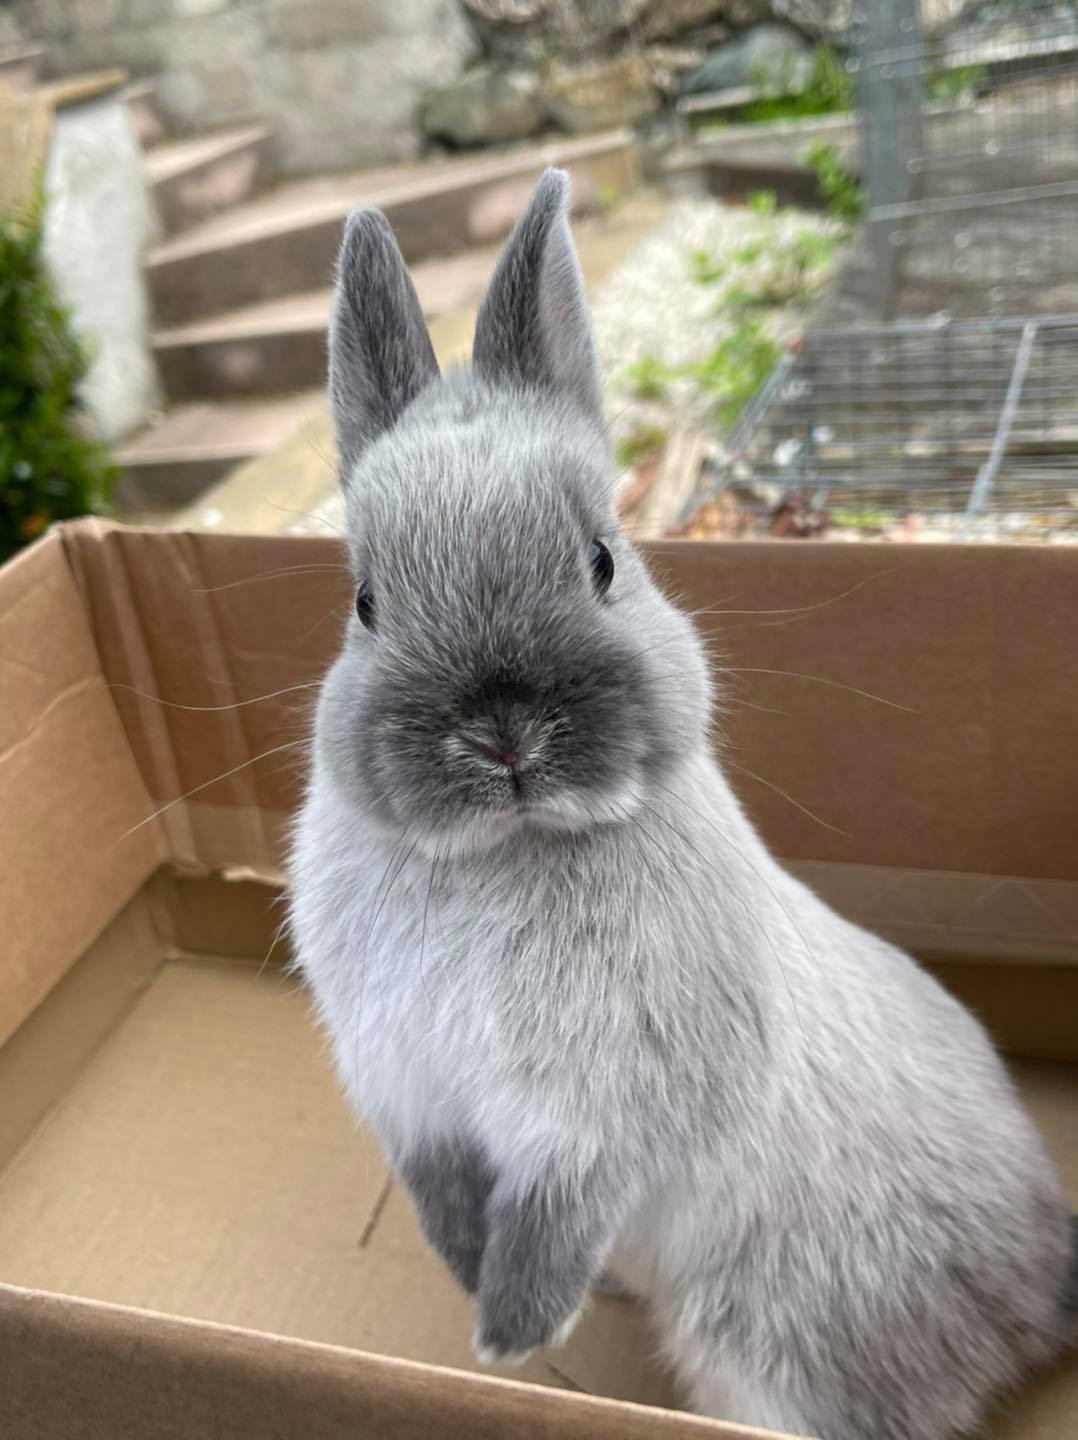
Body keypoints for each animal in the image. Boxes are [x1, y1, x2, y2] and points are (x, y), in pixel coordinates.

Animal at [288, 168, 1077, 1440]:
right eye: (365, 602)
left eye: (605, 561)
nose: (503, 730)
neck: (508, 849)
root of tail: (1042, 1271)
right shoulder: (416, 1099)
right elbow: (448, 1203)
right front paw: (475, 1288)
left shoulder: (605, 1108)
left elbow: (557, 1210)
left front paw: (512, 1334)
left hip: (780, 1353)